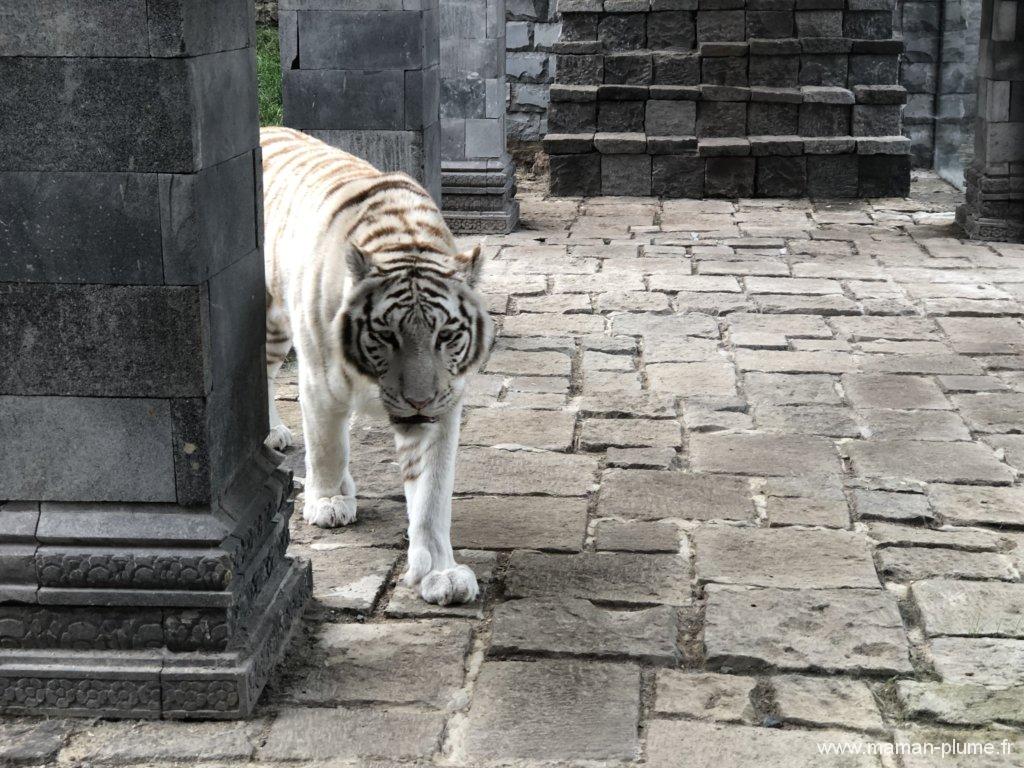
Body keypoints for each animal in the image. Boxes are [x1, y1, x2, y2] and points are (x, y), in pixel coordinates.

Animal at [260, 128, 491, 606]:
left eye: (446, 335)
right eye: (386, 335)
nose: (418, 400)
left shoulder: (444, 405)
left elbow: (432, 491)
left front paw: (440, 572)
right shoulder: (320, 382)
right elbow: (328, 445)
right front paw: (328, 502)